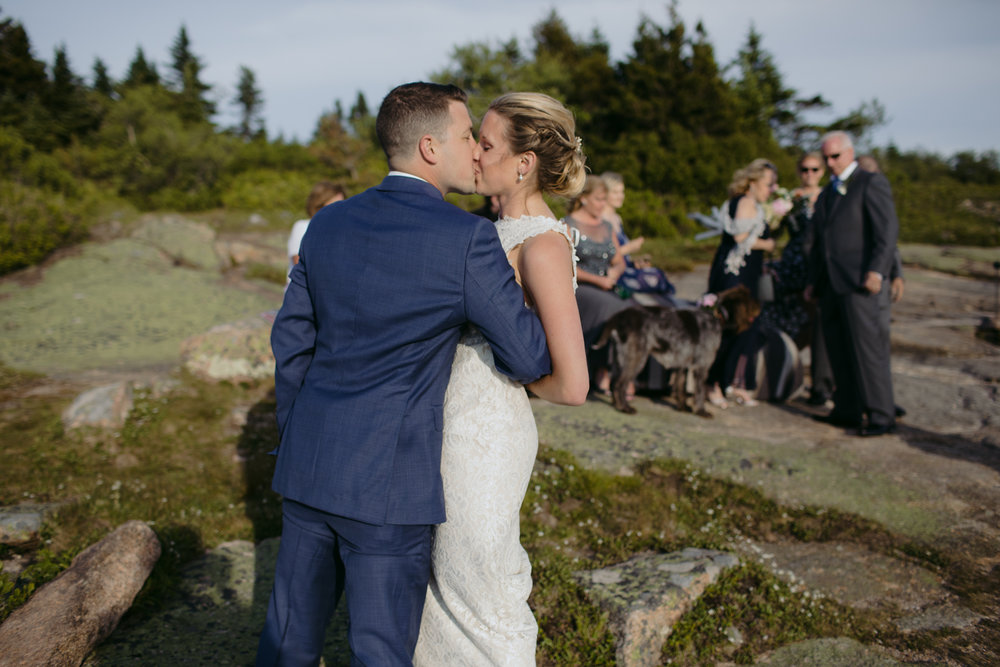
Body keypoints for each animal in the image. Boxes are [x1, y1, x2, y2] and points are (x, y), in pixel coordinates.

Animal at [592, 288, 756, 418]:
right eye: (751, 302)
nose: (759, 307)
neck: (716, 315)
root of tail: (620, 316)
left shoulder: (682, 365)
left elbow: (680, 387)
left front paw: (683, 407)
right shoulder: (701, 367)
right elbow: (699, 391)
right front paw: (701, 411)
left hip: (620, 357)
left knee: (613, 381)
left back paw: (616, 404)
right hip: (636, 358)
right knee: (620, 384)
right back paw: (624, 408)